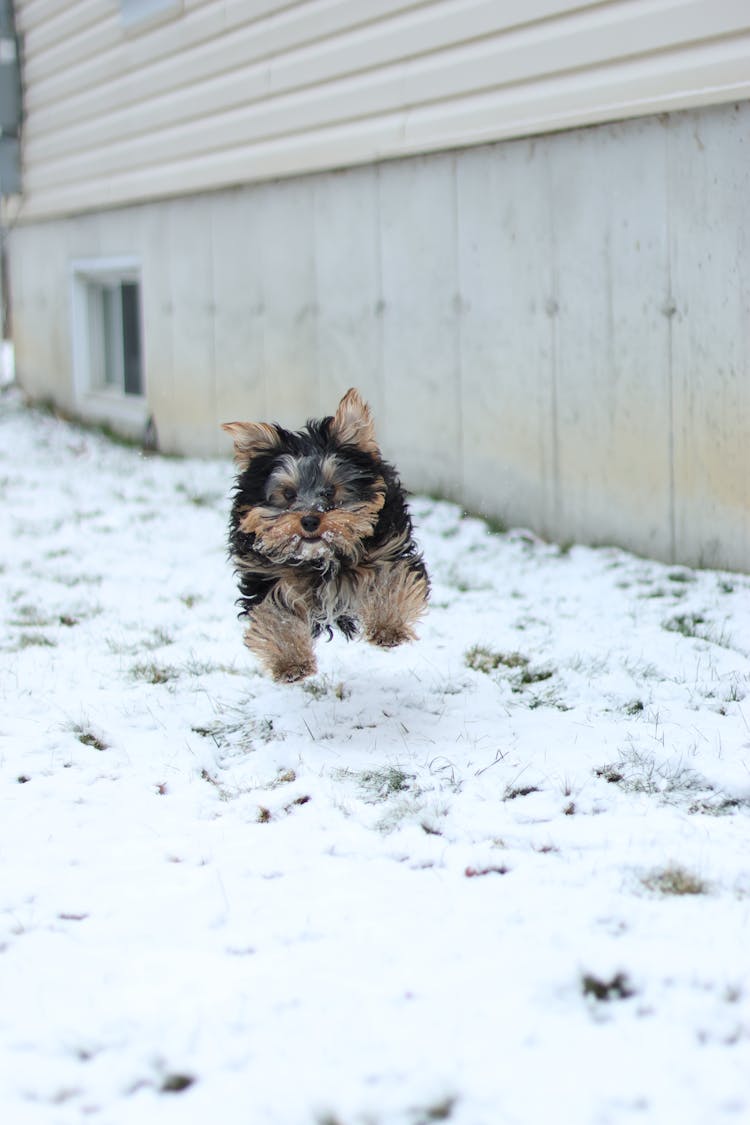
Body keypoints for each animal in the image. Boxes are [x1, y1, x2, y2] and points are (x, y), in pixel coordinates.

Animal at [221, 387, 427, 684]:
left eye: (330, 491)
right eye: (288, 494)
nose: (309, 520)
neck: (320, 556)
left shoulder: (387, 549)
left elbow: (390, 581)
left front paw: (388, 628)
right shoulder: (267, 573)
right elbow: (276, 613)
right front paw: (291, 664)